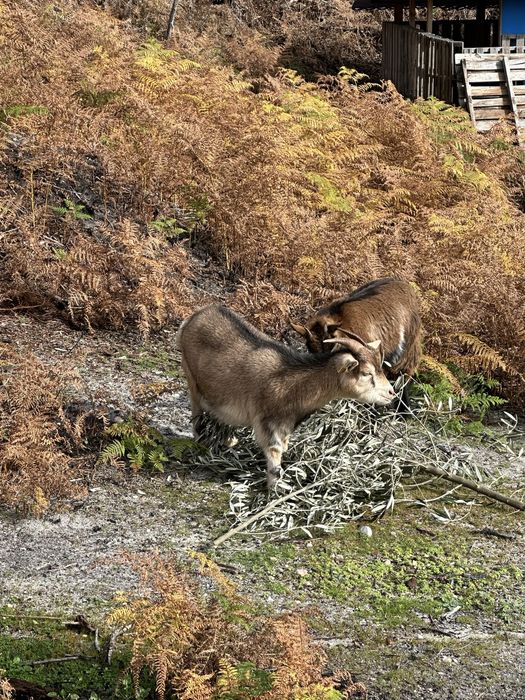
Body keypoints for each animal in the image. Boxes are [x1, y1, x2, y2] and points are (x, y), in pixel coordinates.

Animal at [177, 304, 395, 490]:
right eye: (366, 373)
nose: (391, 393)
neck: (294, 382)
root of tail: (193, 318)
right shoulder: (267, 422)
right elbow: (275, 456)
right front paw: (274, 491)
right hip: (191, 378)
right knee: (196, 412)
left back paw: (229, 440)